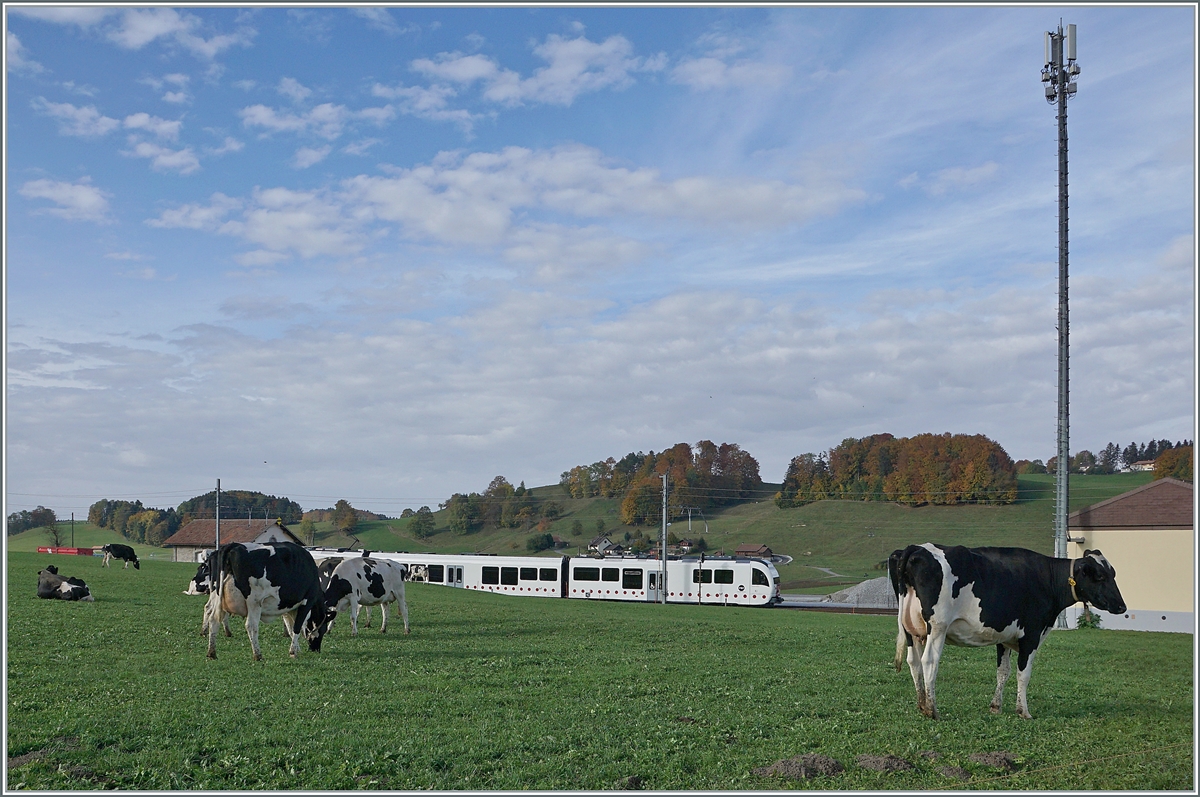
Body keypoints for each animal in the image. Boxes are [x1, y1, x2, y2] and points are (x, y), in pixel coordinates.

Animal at [892, 544, 1123, 720]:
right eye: (1100, 576)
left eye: (1113, 573)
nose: (1122, 606)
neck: (1047, 579)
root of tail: (916, 548)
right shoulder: (1031, 635)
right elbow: (1024, 674)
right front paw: (1023, 711)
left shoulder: (1004, 637)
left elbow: (1003, 672)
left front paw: (996, 707)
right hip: (937, 626)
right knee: (929, 661)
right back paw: (932, 710)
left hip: (911, 630)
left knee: (913, 661)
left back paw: (922, 705)